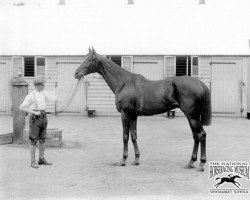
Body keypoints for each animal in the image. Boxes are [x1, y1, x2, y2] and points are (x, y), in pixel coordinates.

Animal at [74, 47, 211, 171]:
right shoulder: (133, 116)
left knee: (201, 135)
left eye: (90, 59)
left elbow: (125, 136)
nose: (76, 73)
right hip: (192, 116)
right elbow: (134, 135)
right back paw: (191, 162)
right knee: (196, 136)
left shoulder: (125, 114)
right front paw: (136, 159)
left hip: (192, 116)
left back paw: (201, 164)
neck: (124, 83)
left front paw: (123, 160)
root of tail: (199, 83)